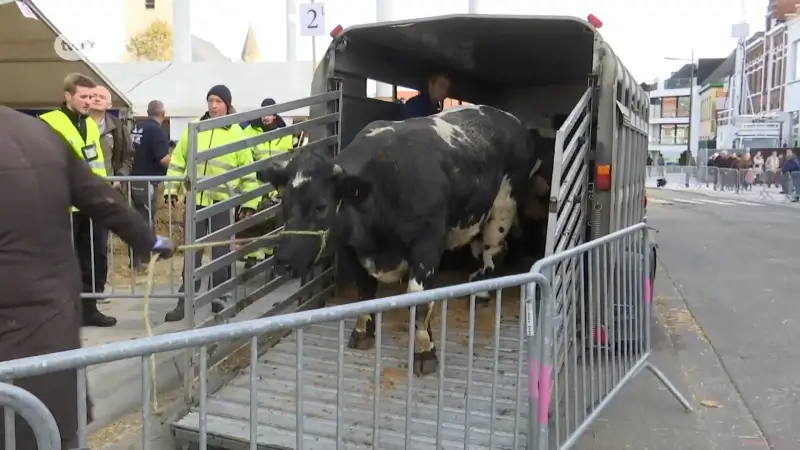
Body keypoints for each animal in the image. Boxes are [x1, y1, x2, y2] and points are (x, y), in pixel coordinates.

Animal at [260, 105, 540, 376]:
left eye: (321, 206)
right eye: (285, 204)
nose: (282, 262)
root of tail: (508, 117)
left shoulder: (427, 245)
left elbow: (419, 301)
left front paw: (425, 352)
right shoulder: (352, 247)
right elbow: (364, 292)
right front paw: (362, 332)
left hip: (504, 205)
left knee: (495, 249)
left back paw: (483, 289)